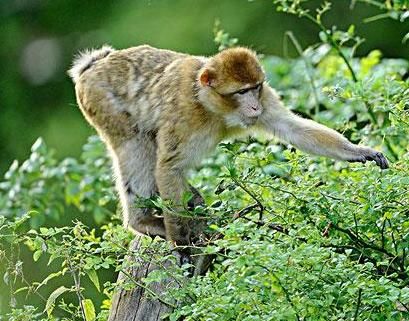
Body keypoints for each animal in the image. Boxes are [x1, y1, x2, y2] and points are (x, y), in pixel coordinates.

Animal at [67, 44, 388, 245]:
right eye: (241, 92)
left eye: (255, 88)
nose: (254, 107)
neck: (211, 106)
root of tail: (93, 65)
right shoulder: (182, 115)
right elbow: (169, 167)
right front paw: (180, 244)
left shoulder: (267, 98)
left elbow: (293, 129)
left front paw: (360, 152)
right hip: (102, 103)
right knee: (135, 145)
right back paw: (142, 222)